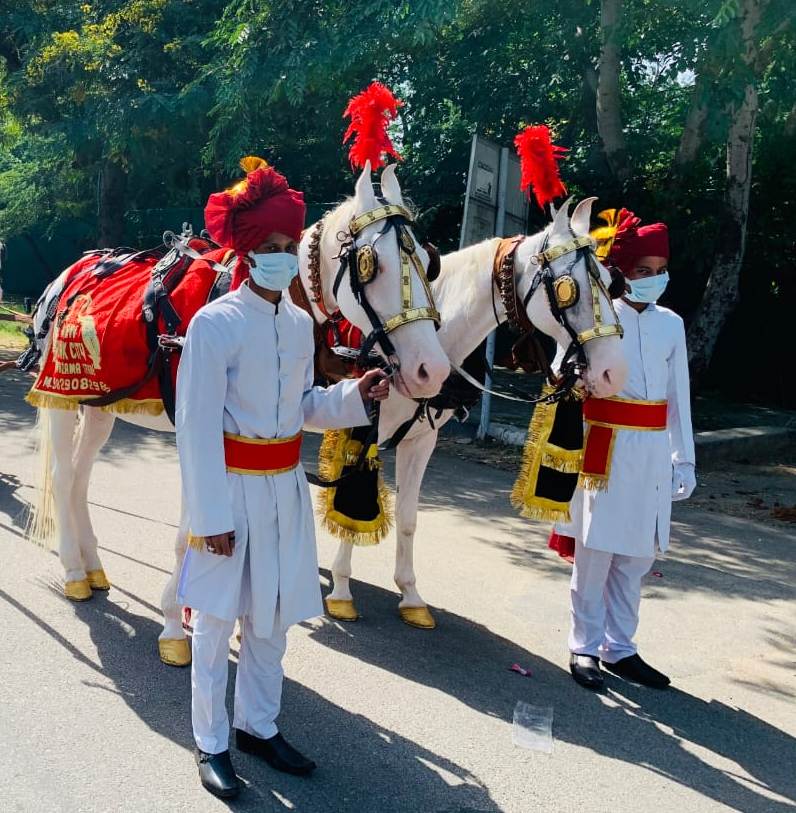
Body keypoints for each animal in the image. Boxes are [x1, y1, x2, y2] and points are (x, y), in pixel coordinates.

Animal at [28, 162, 450, 664]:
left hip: (101, 406)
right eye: (373, 265)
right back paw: (74, 572)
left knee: (78, 477)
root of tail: (69, 275)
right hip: (62, 396)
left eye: (427, 263)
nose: (433, 370)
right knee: (64, 475)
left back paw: (92, 566)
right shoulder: (200, 430)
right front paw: (174, 624)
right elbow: (194, 531)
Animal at [322, 193, 628, 624]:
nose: (613, 371)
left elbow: (409, 517)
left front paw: (410, 595)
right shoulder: (363, 430)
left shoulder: (422, 441)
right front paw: (342, 589)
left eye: (607, 277)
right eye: (570, 288)